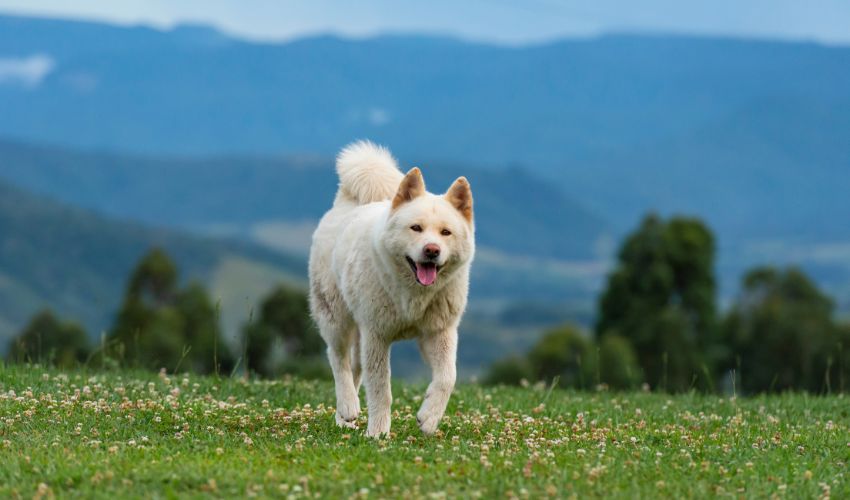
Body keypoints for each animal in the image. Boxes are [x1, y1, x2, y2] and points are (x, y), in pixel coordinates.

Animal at [308, 142, 474, 438]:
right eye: (416, 228)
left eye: (446, 232)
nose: (432, 250)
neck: (413, 294)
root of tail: (346, 203)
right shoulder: (377, 336)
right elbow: (380, 390)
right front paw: (378, 433)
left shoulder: (439, 332)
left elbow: (448, 377)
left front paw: (428, 417)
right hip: (335, 316)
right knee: (338, 359)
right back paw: (348, 405)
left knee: (354, 366)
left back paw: (344, 418)